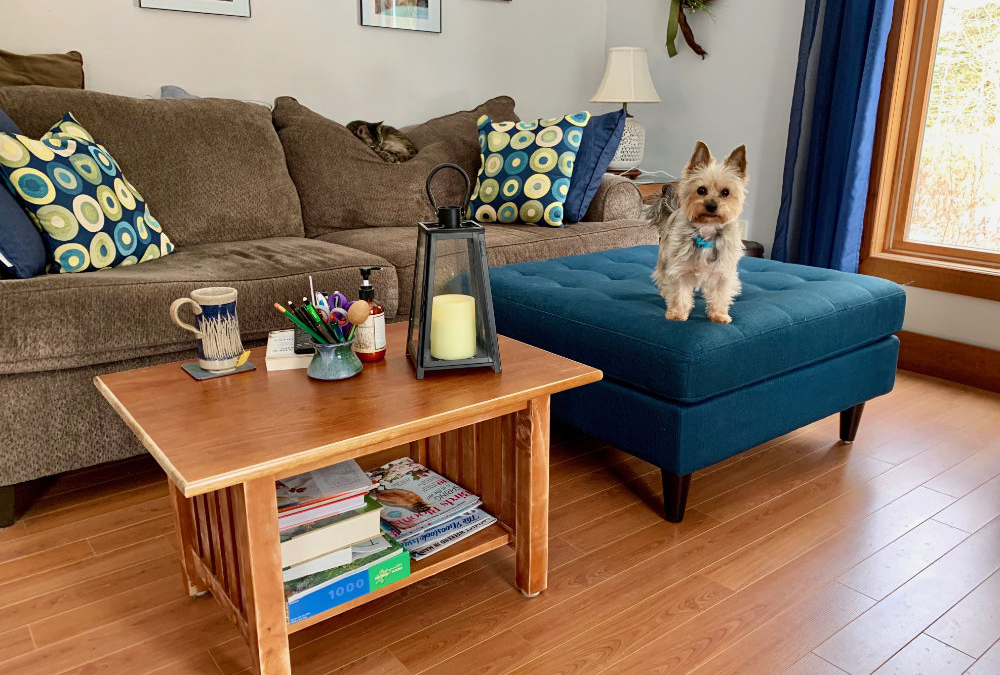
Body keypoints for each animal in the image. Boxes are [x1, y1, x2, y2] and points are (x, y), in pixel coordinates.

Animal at [648, 141, 752, 324]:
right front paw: (677, 314)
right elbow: (679, 293)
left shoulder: (723, 272)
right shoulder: (679, 268)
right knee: (662, 276)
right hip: (664, 259)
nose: (711, 206)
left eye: (726, 192)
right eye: (701, 190)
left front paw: (718, 315)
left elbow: (720, 294)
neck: (707, 229)